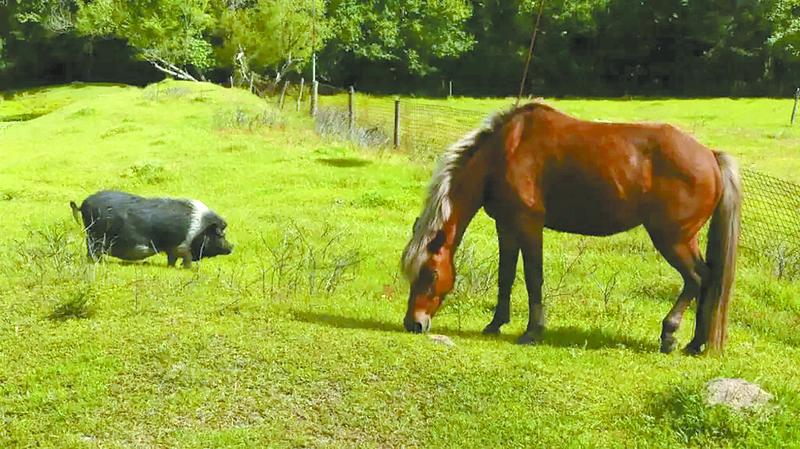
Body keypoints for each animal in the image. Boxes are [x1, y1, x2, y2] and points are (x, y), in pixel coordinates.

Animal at [400, 101, 741, 355]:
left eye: (431, 274)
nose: (413, 324)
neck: (505, 151)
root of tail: (711, 156)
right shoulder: (506, 225)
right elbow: (505, 276)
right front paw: (495, 324)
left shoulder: (528, 224)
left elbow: (533, 278)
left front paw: (532, 331)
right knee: (707, 279)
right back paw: (695, 343)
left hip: (673, 239)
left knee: (698, 278)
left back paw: (671, 335)